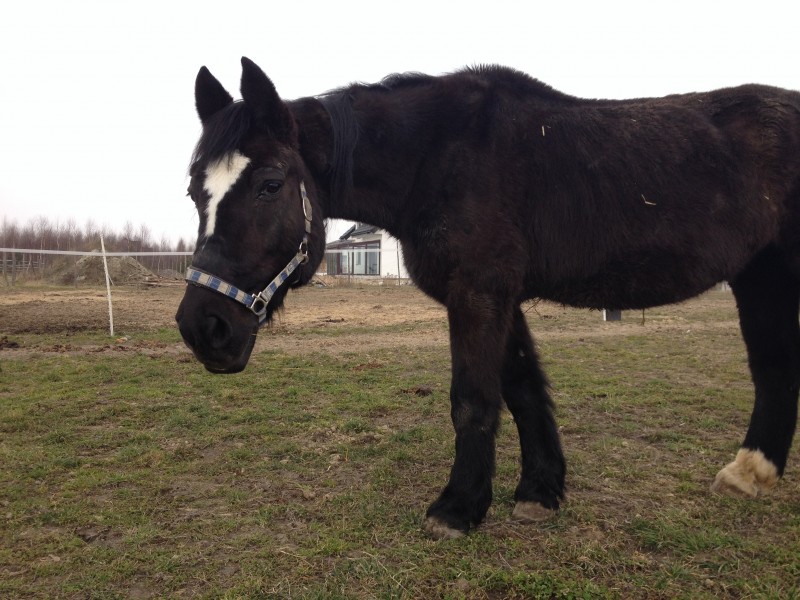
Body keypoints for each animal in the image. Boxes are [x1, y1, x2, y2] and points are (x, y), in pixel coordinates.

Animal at [178, 57, 800, 540]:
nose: (203, 328)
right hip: (761, 275)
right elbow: (523, 388)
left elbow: (473, 400)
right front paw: (540, 491)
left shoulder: (479, 292)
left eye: (270, 185)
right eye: (193, 192)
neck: (437, 157)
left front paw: (457, 508)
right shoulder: (502, 298)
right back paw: (749, 475)